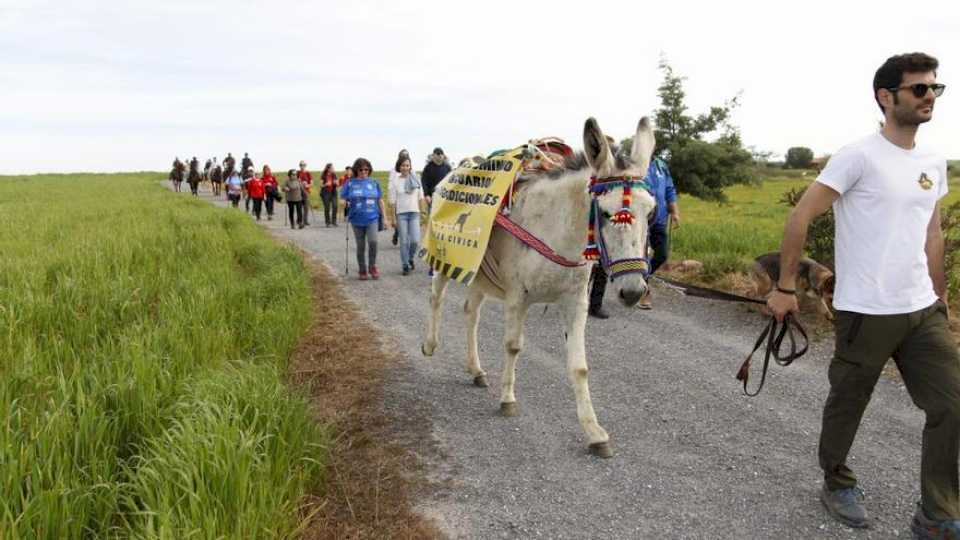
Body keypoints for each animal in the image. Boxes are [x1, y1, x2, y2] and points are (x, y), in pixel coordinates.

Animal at [422, 116, 660, 458]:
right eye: (605, 213)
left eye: (651, 212)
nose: (633, 292)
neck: (556, 229)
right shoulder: (516, 297)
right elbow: (513, 346)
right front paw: (508, 400)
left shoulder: (575, 302)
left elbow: (579, 367)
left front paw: (594, 432)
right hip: (446, 259)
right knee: (436, 297)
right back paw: (430, 344)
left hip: (480, 275)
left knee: (471, 313)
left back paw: (476, 370)